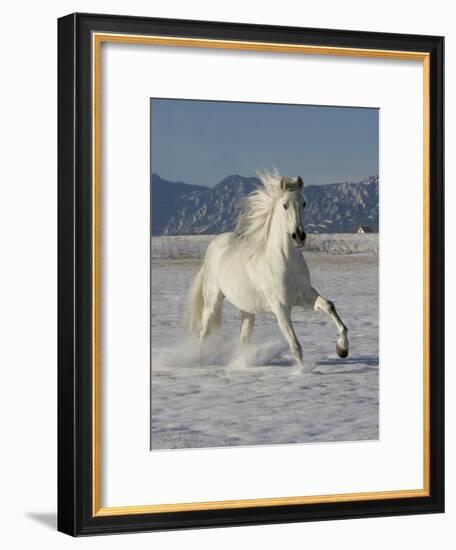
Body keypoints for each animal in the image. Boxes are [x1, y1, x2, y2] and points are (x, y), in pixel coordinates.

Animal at [185, 170, 350, 364]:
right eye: (285, 205)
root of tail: (213, 247)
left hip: (247, 308)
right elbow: (296, 347)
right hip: (213, 300)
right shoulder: (280, 307)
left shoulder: (304, 296)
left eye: (304, 203)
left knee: (243, 338)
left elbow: (329, 306)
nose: (299, 236)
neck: (285, 262)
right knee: (204, 331)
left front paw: (342, 349)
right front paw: (303, 370)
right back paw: (199, 359)